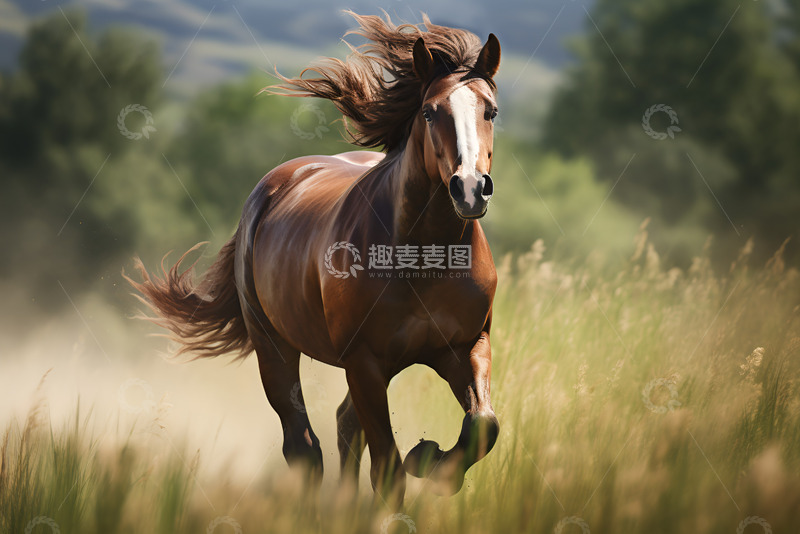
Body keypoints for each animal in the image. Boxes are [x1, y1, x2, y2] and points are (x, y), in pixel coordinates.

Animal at [128, 12, 501, 508]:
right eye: (429, 112)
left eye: (491, 111)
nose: (470, 188)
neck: (423, 259)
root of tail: (272, 186)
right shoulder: (364, 361)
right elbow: (387, 470)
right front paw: (421, 462)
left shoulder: (464, 346)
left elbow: (483, 425)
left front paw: (433, 461)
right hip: (275, 346)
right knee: (304, 445)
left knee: (344, 425)